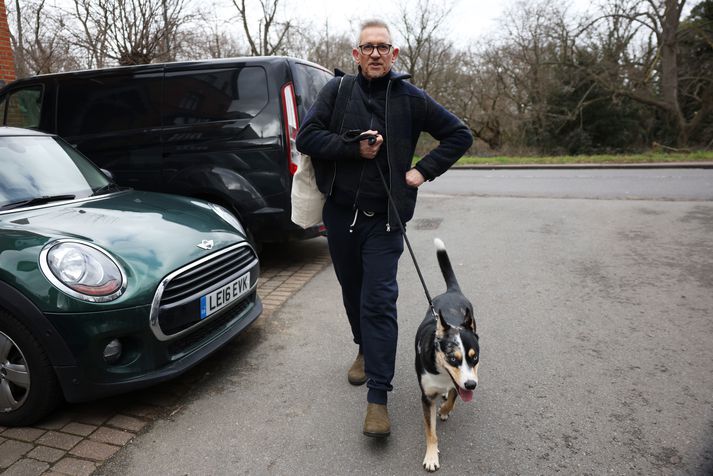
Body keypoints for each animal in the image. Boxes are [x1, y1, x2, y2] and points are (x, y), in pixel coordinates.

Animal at [414, 240, 482, 470]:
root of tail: (452, 291)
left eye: (474, 357)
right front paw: (431, 457)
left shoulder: (461, 381)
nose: (472, 385)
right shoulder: (426, 397)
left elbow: (454, 396)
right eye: (453, 358)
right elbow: (430, 432)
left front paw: (444, 409)